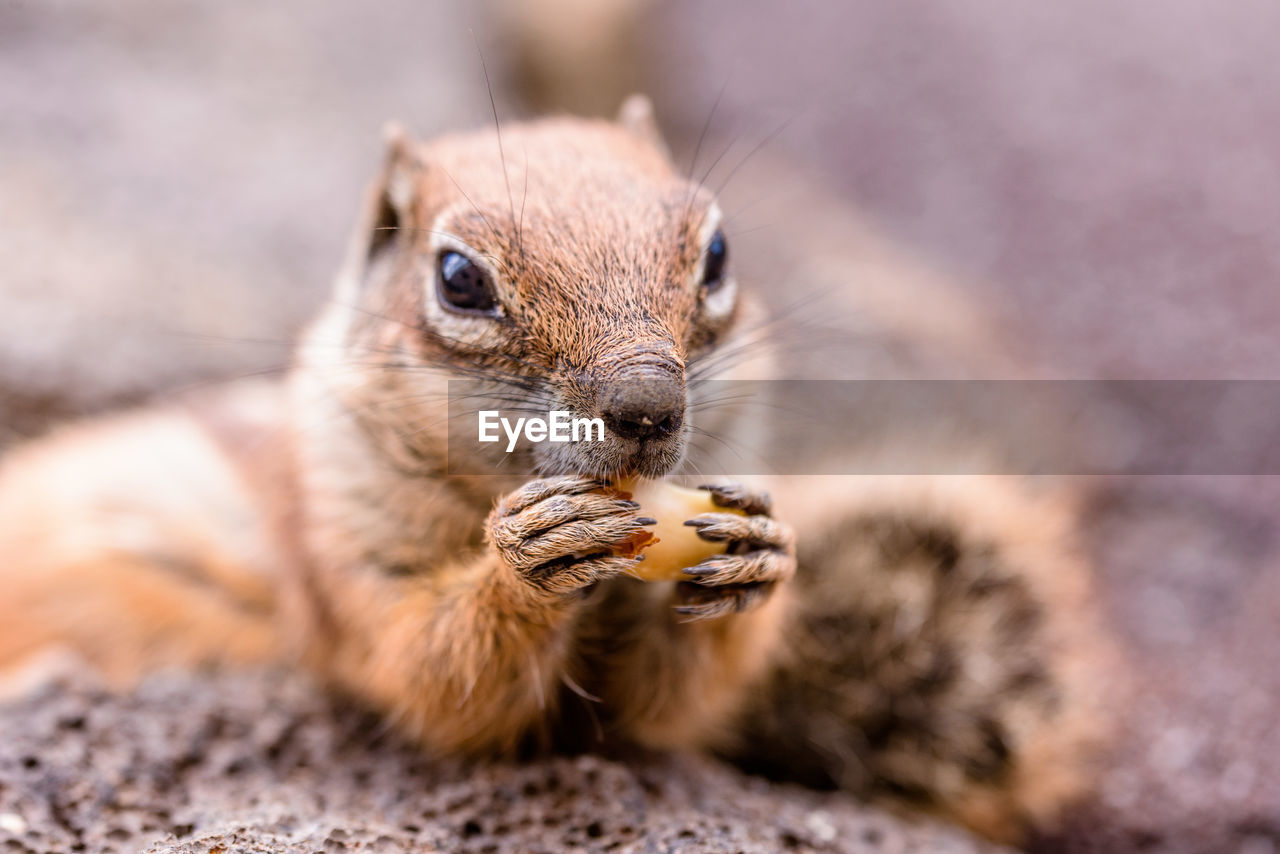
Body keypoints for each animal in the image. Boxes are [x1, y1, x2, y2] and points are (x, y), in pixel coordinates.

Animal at [0, 96, 1105, 845]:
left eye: (717, 253)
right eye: (458, 278)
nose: (647, 406)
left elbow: (664, 713)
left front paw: (756, 552)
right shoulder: (339, 541)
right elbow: (432, 672)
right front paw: (524, 561)